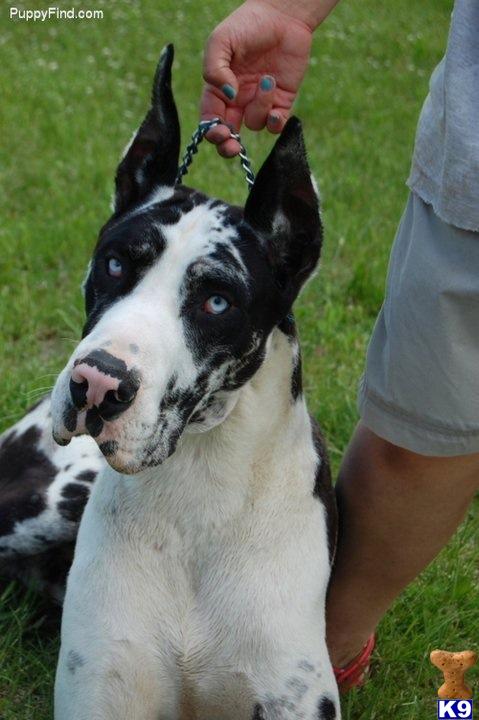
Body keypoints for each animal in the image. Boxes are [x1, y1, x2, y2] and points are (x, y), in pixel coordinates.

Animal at [0, 45, 342, 720]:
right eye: (113, 263)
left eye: (216, 300)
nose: (96, 384)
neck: (198, 493)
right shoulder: (101, 692)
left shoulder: (292, 695)